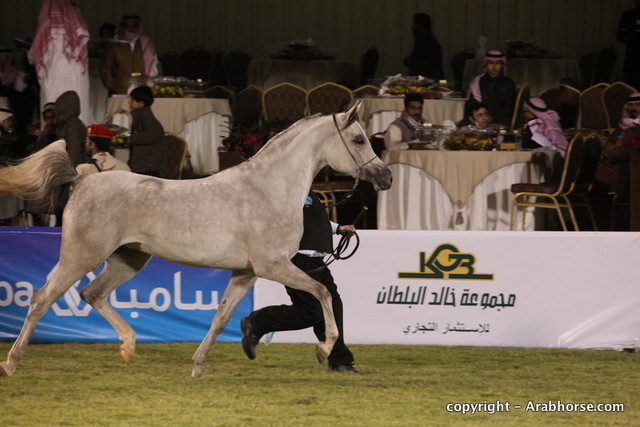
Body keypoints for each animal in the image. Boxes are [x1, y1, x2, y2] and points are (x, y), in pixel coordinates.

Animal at [0, 103, 392, 378]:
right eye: (358, 139)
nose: (385, 176)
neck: (268, 189)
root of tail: (81, 181)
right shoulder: (274, 265)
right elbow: (323, 292)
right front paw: (324, 350)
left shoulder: (246, 273)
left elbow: (221, 318)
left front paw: (197, 366)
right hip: (81, 255)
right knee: (42, 298)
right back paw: (11, 363)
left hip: (127, 259)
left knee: (91, 293)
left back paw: (128, 347)